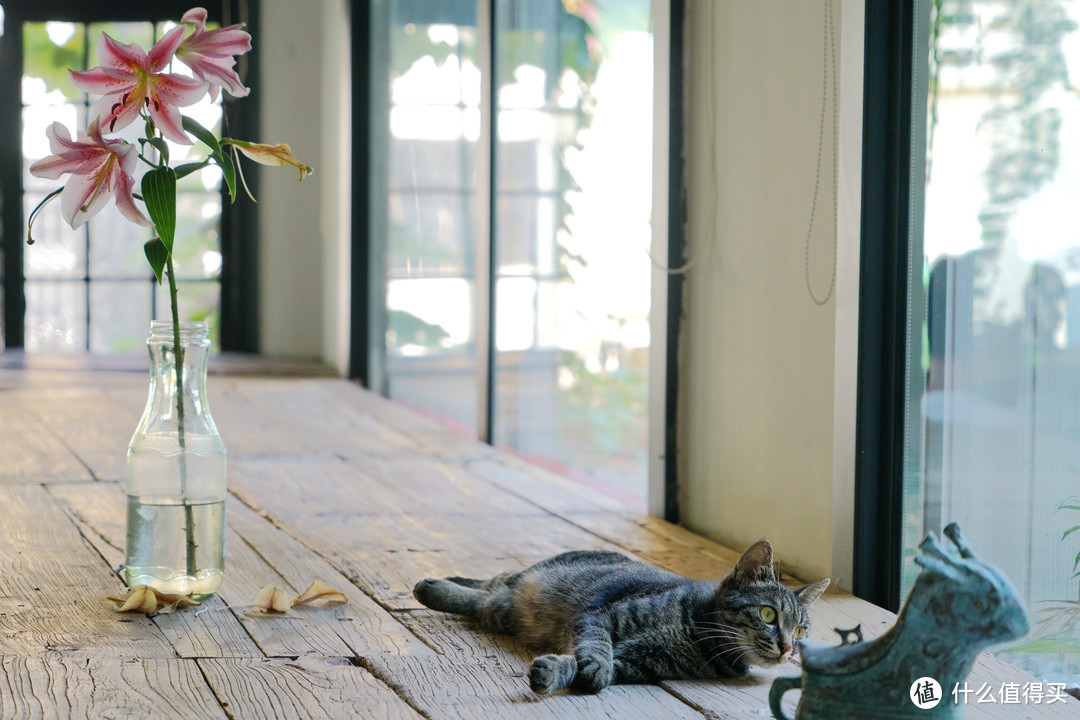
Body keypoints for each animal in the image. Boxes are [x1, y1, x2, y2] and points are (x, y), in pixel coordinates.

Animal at [410, 539, 825, 690]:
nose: (787, 648)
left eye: (800, 631)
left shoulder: (641, 664)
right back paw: (430, 586)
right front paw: (587, 666)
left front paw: (557, 671)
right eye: (768, 614)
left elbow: (594, 665)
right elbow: (597, 648)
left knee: (487, 594)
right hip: (516, 595)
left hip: (506, 608)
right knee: (485, 589)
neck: (696, 637)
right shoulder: (600, 618)